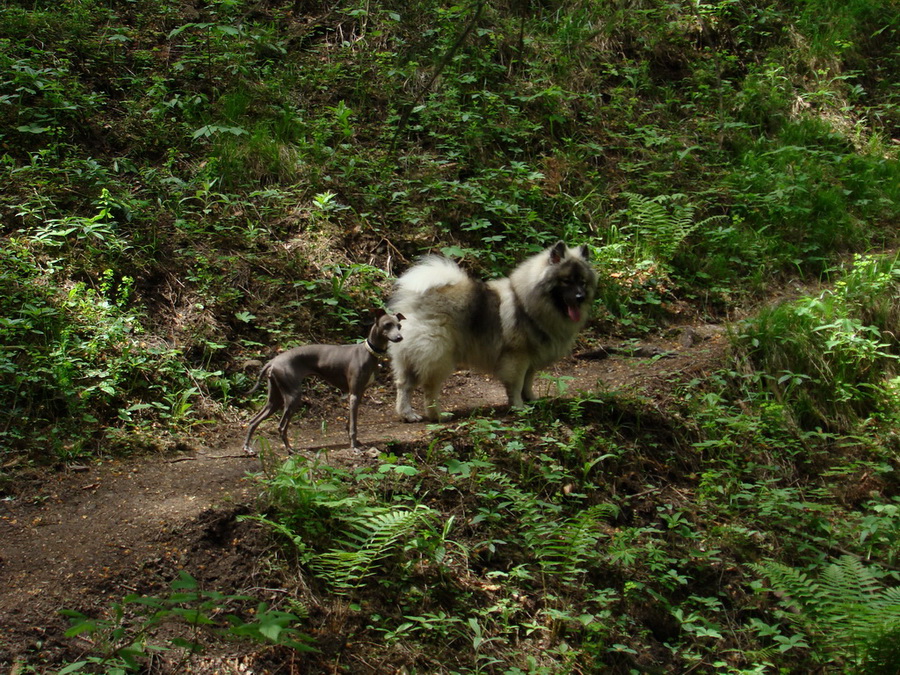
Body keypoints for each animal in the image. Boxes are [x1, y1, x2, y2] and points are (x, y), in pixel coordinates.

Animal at [243, 310, 404, 456]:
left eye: (399, 326)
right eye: (387, 324)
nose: (399, 337)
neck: (369, 352)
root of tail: (273, 362)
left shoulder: (358, 393)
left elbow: (349, 423)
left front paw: (356, 443)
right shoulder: (354, 394)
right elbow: (353, 426)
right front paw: (354, 447)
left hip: (275, 399)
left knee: (253, 421)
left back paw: (247, 448)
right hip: (293, 397)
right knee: (281, 427)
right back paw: (290, 450)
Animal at [388, 243, 596, 422]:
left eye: (583, 282)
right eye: (566, 281)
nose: (580, 297)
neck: (527, 304)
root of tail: (417, 301)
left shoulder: (531, 359)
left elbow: (528, 382)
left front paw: (531, 400)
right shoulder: (517, 358)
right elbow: (517, 384)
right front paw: (519, 407)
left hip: (410, 358)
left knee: (403, 385)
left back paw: (407, 414)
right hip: (438, 357)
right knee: (429, 389)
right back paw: (437, 415)